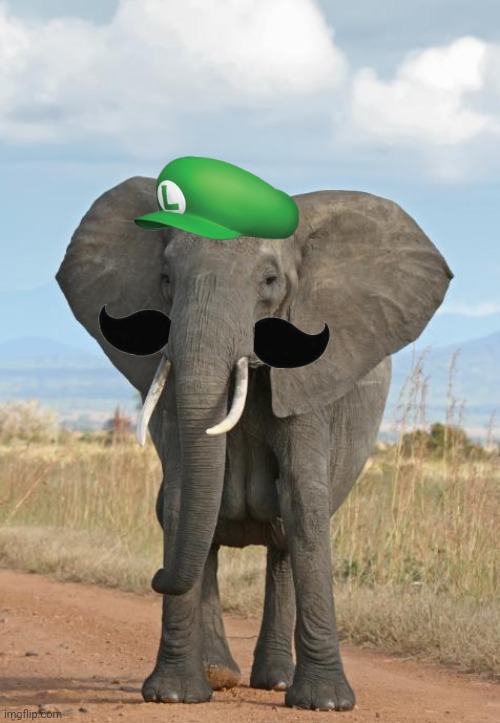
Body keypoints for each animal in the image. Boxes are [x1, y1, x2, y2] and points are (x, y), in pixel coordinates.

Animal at [56, 176, 452, 711]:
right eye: (165, 279)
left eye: (269, 280)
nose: (155, 577)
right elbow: (181, 498)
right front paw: (173, 695)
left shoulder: (312, 380)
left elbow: (304, 501)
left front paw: (326, 703)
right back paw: (219, 675)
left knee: (284, 535)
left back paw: (276, 682)